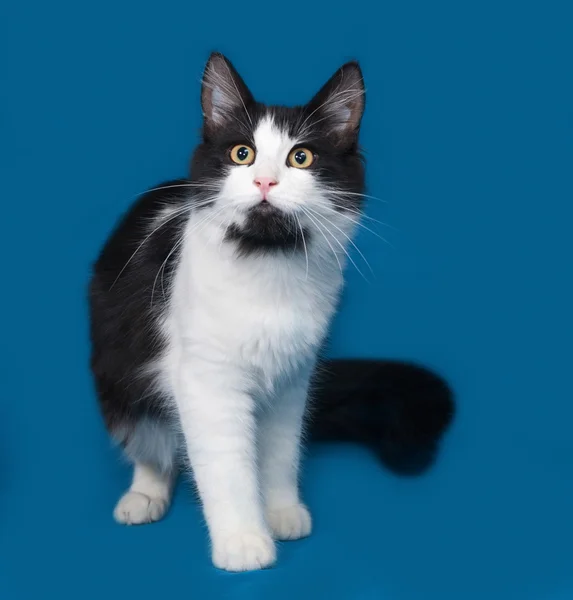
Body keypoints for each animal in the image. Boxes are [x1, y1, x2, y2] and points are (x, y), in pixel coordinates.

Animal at [89, 52, 454, 572]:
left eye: (301, 157)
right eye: (242, 154)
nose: (265, 181)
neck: (267, 265)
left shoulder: (290, 379)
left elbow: (279, 453)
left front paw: (280, 512)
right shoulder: (208, 383)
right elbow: (227, 468)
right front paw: (244, 542)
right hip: (119, 373)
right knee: (150, 440)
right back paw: (145, 495)